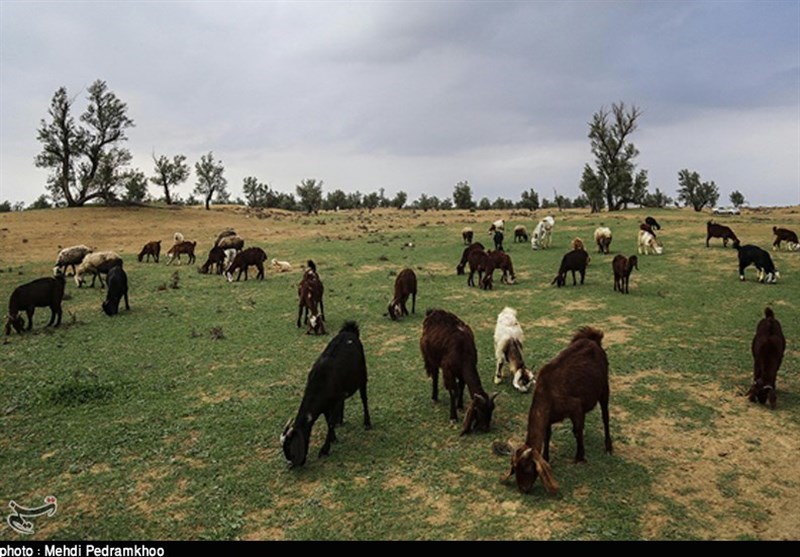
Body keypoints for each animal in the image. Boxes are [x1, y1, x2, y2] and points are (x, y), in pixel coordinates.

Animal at [280, 320, 370, 466]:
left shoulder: (333, 402)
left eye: (290, 448)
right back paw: (341, 421)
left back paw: (367, 423)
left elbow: (330, 423)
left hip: (362, 378)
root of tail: (349, 331)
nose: (291, 466)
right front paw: (333, 438)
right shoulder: (327, 405)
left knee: (364, 399)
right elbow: (329, 421)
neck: (321, 382)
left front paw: (325, 449)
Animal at [500, 328, 612, 494]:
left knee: (605, 417)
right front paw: (546, 456)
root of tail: (594, 339)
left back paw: (608, 447)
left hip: (604, 388)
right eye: (514, 468)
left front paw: (580, 457)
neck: (547, 392)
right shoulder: (549, 418)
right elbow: (547, 435)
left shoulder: (576, 408)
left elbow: (577, 431)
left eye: (527, 468)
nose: (523, 489)